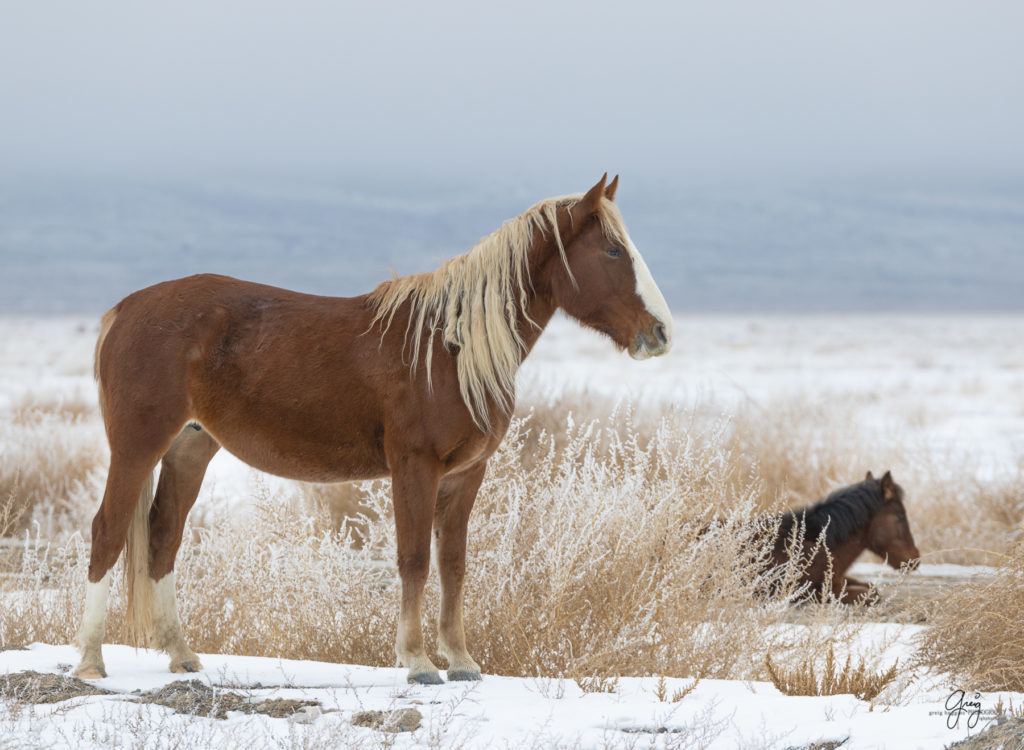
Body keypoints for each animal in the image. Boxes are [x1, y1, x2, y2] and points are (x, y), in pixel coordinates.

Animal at [75, 176, 675, 684]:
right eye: (613, 251)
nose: (661, 332)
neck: (449, 349)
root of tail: (124, 309)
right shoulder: (415, 468)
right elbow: (413, 559)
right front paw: (417, 662)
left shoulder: (466, 475)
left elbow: (453, 564)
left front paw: (461, 660)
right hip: (137, 445)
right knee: (108, 531)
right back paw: (89, 661)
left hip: (190, 448)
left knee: (163, 537)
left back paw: (181, 654)